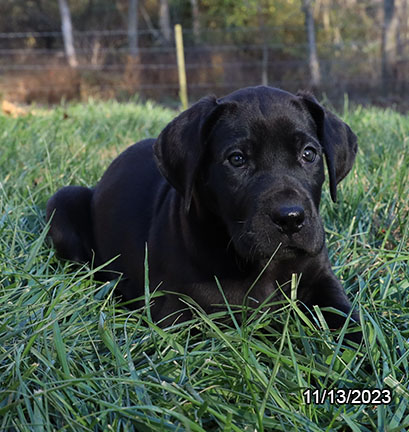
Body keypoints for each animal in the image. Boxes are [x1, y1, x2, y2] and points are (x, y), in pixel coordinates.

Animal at [47, 85, 360, 340]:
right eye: (237, 159)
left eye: (309, 154)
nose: (290, 218)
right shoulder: (178, 312)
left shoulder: (322, 281)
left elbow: (351, 321)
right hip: (64, 200)